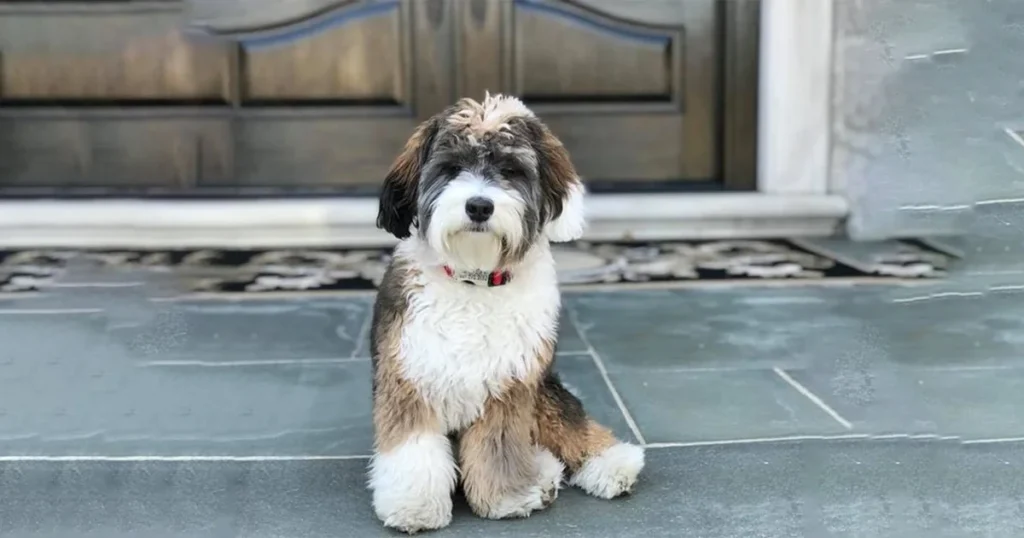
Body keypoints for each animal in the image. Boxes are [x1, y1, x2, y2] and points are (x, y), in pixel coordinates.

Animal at [364, 93, 643, 532]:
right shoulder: (408, 376)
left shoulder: (510, 385)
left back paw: (612, 463)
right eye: (452, 168)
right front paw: (414, 506)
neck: (474, 279)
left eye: (511, 171)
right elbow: (415, 452)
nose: (479, 206)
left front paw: (505, 498)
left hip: (543, 390)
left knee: (568, 421)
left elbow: (499, 448)